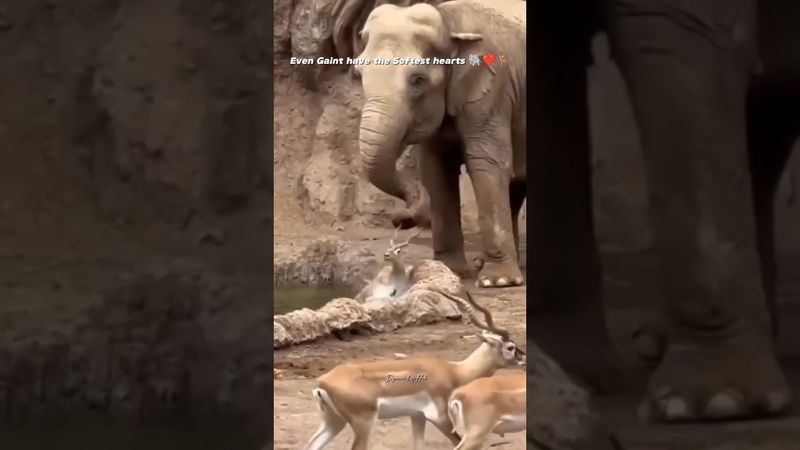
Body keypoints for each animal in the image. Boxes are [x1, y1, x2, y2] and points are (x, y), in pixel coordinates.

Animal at [302, 290, 526, 450]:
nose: (524, 359)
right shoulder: (439, 417)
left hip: (334, 421)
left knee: (311, 445)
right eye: (510, 347)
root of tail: (323, 382)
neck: (454, 372)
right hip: (362, 423)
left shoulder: (417, 416)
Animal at [352, 0, 527, 289]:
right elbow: (435, 171)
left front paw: (497, 282)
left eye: (418, 80)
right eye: (359, 72)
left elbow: (487, 164)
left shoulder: (493, 90)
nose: (399, 218)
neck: (448, 22)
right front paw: (449, 270)